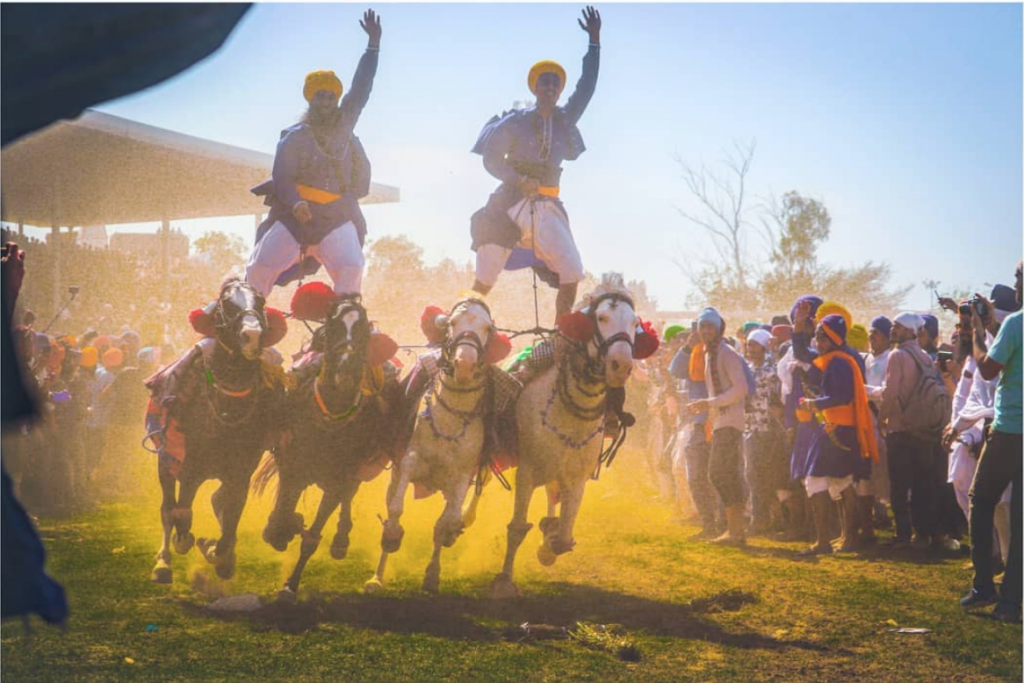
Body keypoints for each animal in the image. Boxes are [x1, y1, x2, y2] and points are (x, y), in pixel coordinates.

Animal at [144, 278, 288, 581]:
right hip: (165, 462)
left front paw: (217, 552)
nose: (252, 336)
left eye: (260, 301)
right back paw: (163, 562)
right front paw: (186, 542)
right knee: (168, 507)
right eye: (227, 303)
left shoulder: (240, 472)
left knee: (215, 500)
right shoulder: (189, 468)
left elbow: (230, 519)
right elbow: (181, 514)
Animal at [249, 284, 401, 602]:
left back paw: (341, 538)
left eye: (362, 331)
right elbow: (283, 512)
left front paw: (290, 585)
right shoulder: (293, 467)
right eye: (332, 327)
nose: (345, 370)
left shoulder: (340, 478)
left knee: (347, 497)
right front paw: (281, 528)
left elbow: (314, 534)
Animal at [364, 299, 516, 593]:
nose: (464, 364)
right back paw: (377, 577)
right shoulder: (410, 459)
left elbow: (448, 521)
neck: (451, 417)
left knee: (443, 522)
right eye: (453, 323)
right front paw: (392, 536)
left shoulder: (461, 478)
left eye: (487, 327)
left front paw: (438, 561)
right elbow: (396, 507)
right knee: (391, 504)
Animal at [491, 274, 659, 598]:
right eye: (602, 317)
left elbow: (563, 537)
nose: (621, 365)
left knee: (552, 495)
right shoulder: (527, 471)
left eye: (635, 323)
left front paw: (548, 543)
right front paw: (504, 580)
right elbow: (517, 528)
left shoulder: (577, 477)